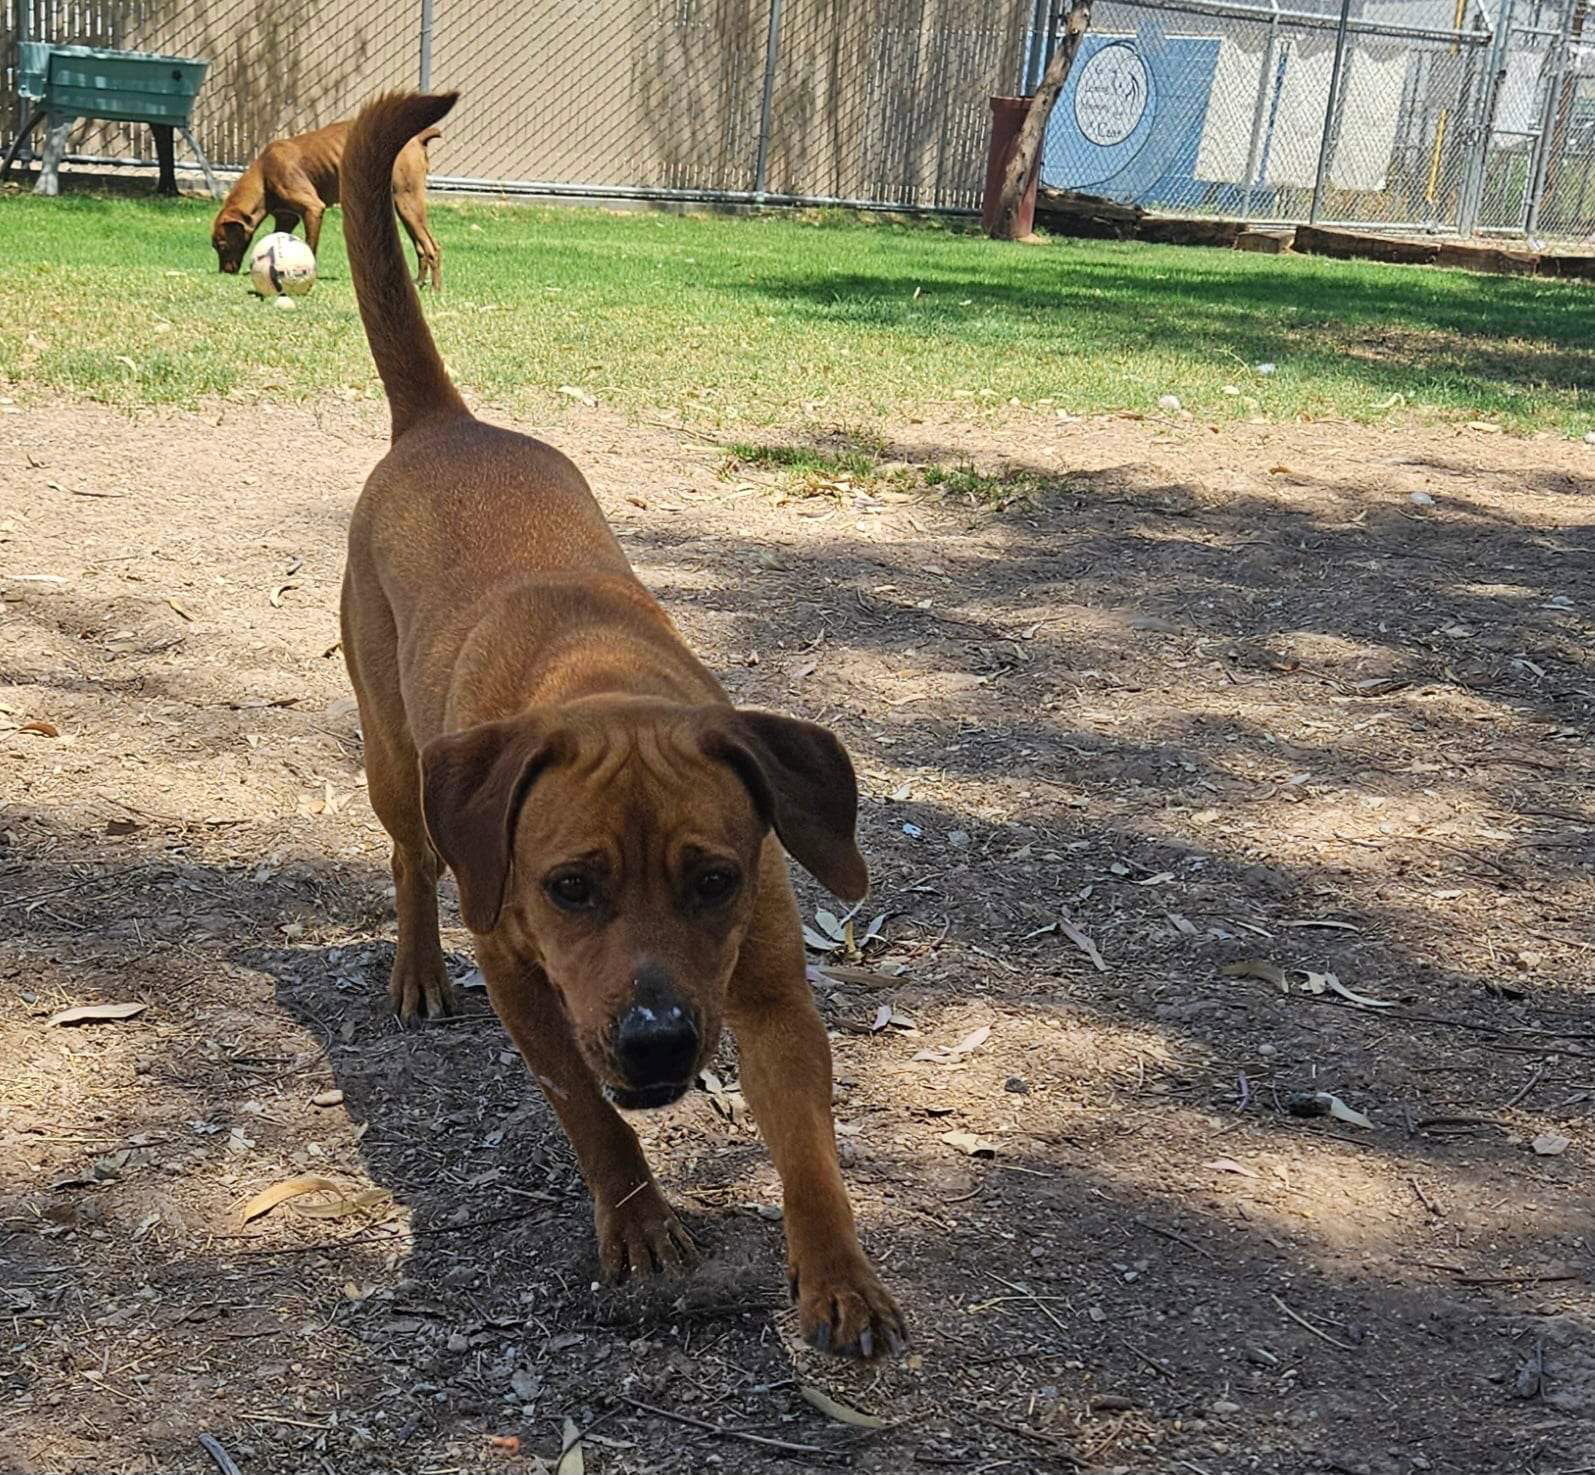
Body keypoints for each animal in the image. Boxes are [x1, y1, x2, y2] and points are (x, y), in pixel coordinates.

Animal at [212, 119, 446, 287]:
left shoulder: (313, 208)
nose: (224, 273)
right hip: (404, 207)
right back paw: (418, 283)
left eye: (222, 246)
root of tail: (418, 137)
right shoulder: (286, 218)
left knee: (431, 246)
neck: (263, 173)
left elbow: (310, 246)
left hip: (406, 201)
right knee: (421, 247)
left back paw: (435, 289)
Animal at [336, 89, 905, 1358]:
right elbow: (593, 1119)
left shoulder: (771, 990)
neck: (599, 681)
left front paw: (837, 1272)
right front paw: (638, 1220)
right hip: (393, 758)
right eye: (568, 886)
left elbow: (810, 1152)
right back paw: (414, 966)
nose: (653, 1038)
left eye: (713, 878)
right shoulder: (523, 976)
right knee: (407, 856)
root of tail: (443, 423)